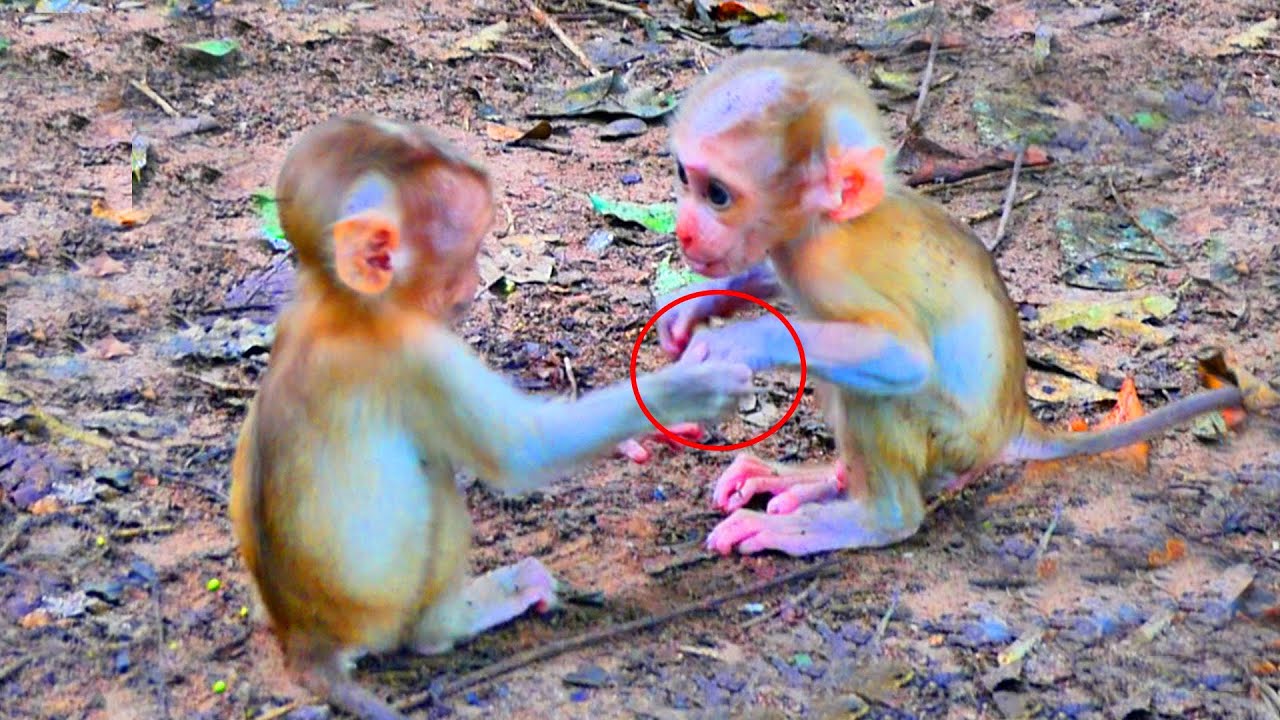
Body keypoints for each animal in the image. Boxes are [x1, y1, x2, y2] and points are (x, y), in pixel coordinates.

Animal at [229, 114, 753, 719]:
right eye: (468, 249)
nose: (478, 279)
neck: (338, 300)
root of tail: (305, 639)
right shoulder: (418, 352)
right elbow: (522, 451)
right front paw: (690, 389)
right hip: (388, 607)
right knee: (434, 483)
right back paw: (455, 622)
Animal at [652, 49, 1246, 558]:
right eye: (684, 177)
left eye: (719, 195)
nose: (685, 232)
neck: (817, 227)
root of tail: (1013, 423)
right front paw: (696, 308)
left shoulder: (831, 268)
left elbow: (902, 357)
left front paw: (735, 343)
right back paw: (823, 480)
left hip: (954, 441)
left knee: (878, 391)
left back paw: (870, 520)